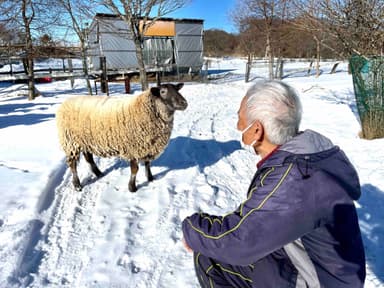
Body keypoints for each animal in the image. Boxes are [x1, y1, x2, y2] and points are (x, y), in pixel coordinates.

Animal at [56, 82, 188, 192]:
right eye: (163, 91)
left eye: (177, 89)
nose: (184, 103)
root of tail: (65, 102)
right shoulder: (134, 147)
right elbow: (135, 170)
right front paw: (132, 187)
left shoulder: (148, 145)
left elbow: (147, 164)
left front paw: (150, 178)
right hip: (70, 142)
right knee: (72, 165)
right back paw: (77, 185)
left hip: (85, 140)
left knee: (89, 158)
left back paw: (99, 173)